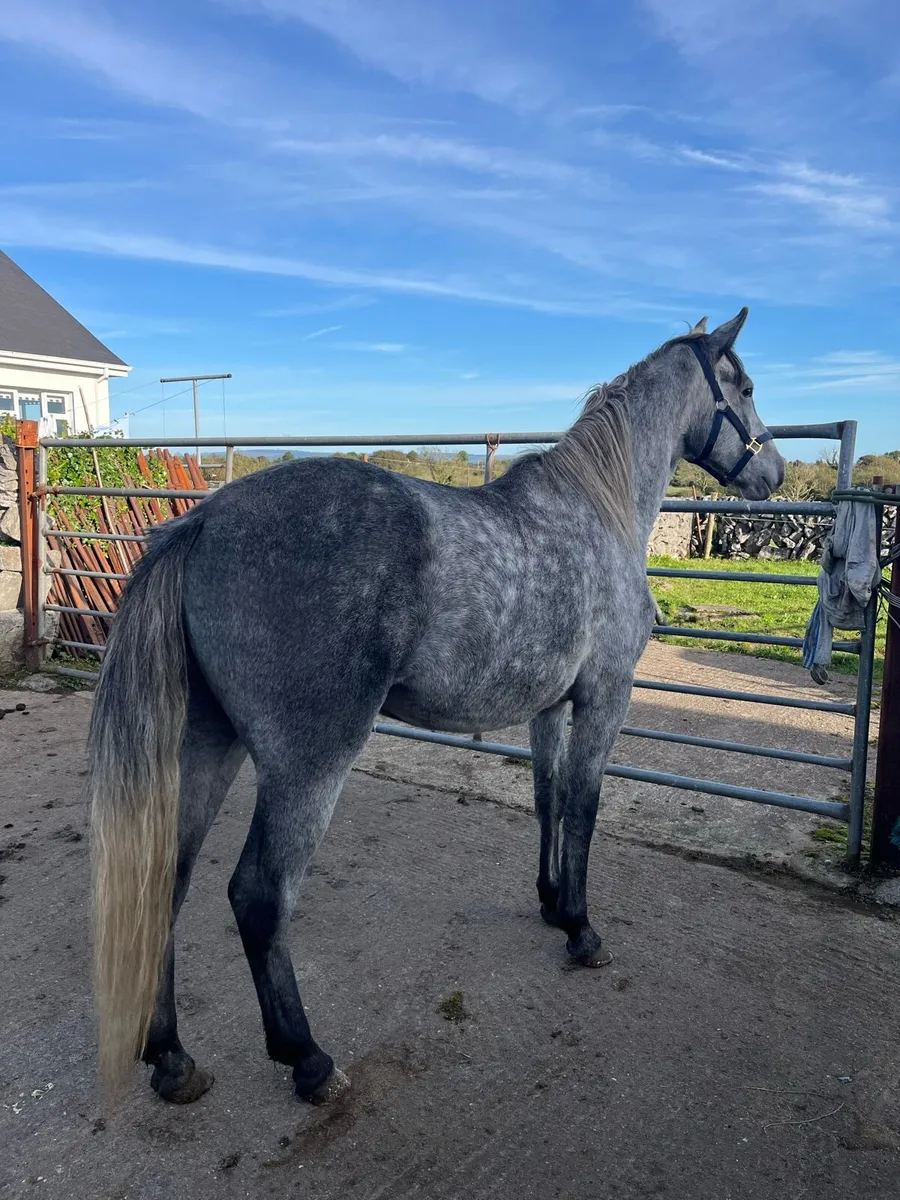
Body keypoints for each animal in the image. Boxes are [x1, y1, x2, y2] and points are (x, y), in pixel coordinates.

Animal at [89, 307, 785, 1106]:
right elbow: (583, 808)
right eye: (746, 387)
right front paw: (582, 932)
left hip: (208, 744)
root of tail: (200, 524)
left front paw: (551, 904)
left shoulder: (550, 706)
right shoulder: (605, 697)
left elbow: (547, 799)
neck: (596, 509)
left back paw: (172, 1058)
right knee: (259, 896)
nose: (774, 474)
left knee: (164, 880)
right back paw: (308, 1059)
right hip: (307, 764)